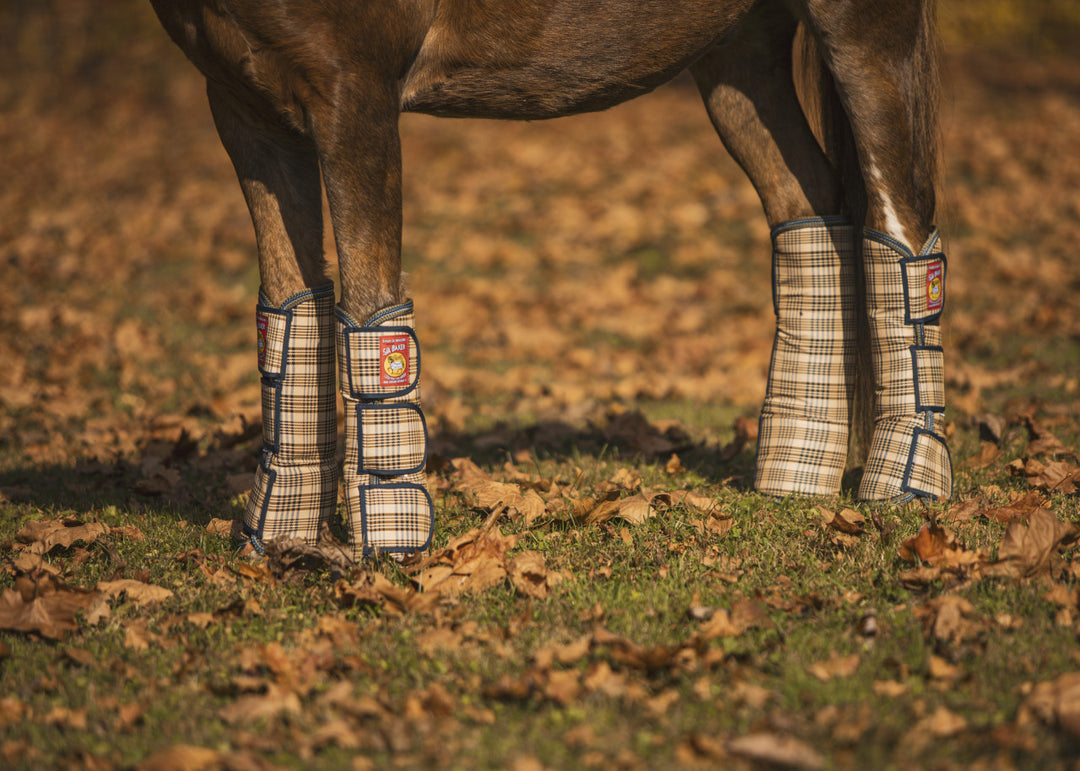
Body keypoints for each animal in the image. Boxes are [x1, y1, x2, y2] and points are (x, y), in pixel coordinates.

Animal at [147, 0, 950, 557]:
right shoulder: (243, 102)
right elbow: (290, 309)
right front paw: (282, 539)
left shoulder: (355, 96)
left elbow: (370, 307)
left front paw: (385, 551)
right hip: (739, 54)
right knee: (812, 208)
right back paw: (792, 478)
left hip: (862, 33)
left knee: (901, 224)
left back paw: (904, 489)